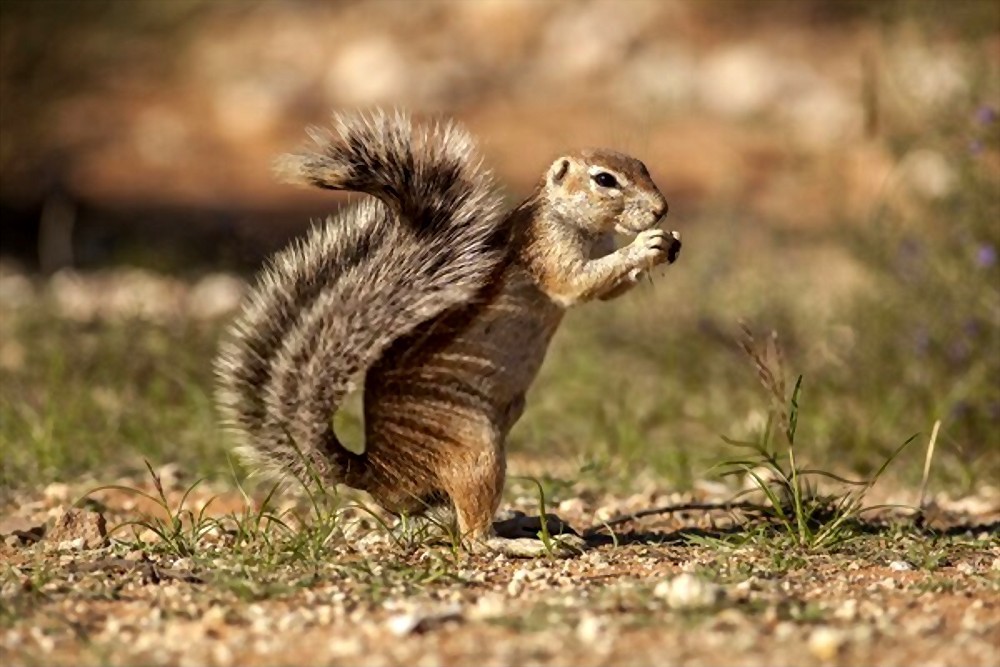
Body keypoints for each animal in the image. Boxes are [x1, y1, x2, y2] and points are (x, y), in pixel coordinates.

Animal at [215, 110, 681, 557]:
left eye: (643, 166)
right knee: (472, 536)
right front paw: (646, 246)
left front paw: (666, 242)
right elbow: (575, 284)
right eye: (605, 180)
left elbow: (607, 289)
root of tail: (377, 474)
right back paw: (521, 543)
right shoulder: (546, 248)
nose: (661, 210)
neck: (576, 222)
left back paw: (524, 521)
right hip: (476, 452)